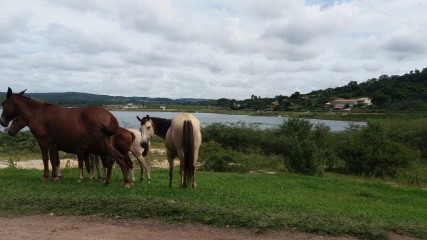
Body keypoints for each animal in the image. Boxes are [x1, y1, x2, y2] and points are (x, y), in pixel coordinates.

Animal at [0, 87, 132, 187]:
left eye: (3, 104)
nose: (3, 123)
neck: (37, 114)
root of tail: (110, 116)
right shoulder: (53, 144)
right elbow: (54, 160)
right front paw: (55, 176)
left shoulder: (43, 141)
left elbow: (46, 159)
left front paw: (46, 176)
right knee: (112, 160)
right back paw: (108, 181)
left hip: (103, 144)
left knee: (118, 158)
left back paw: (125, 182)